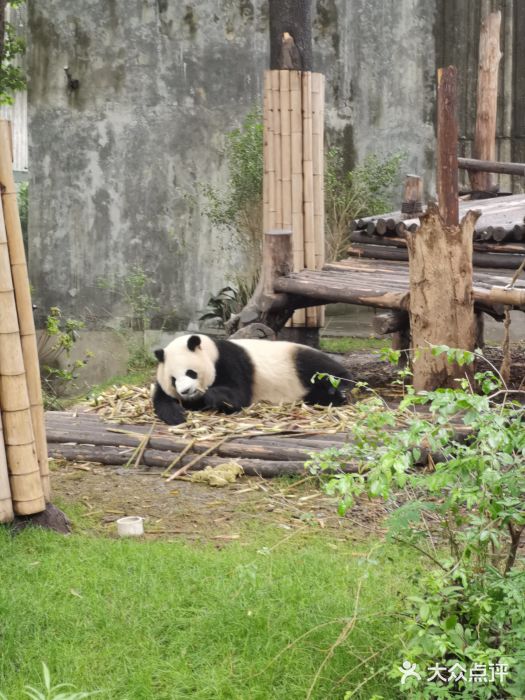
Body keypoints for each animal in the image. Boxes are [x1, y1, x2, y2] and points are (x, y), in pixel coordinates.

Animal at [151, 332, 350, 424]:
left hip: (297, 359)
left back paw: (340, 389)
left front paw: (211, 396)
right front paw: (176, 414)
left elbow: (238, 395)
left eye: (191, 372)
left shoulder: (229, 360)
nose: (185, 391)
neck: (211, 351)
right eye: (173, 379)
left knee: (321, 367)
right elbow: (162, 399)